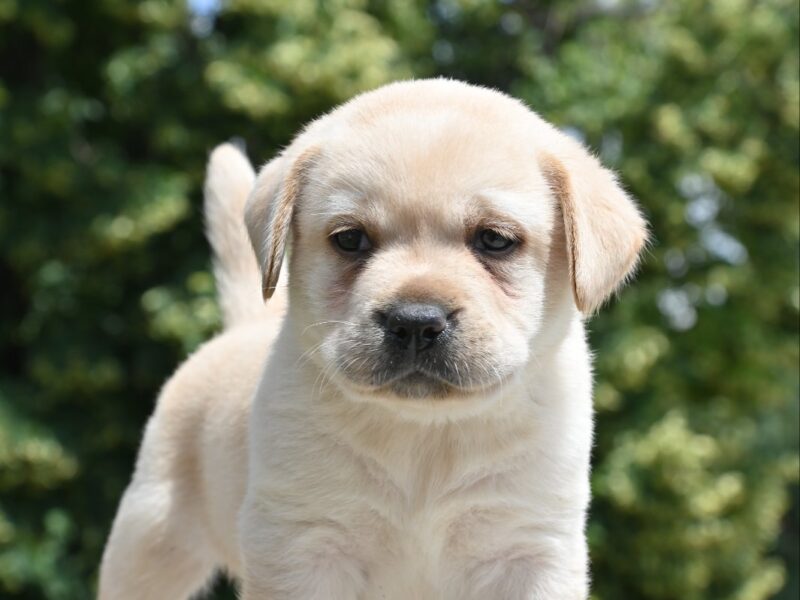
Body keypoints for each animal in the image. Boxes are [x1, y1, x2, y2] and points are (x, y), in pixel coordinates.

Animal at [101, 79, 648, 600]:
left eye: (494, 239)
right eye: (350, 239)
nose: (415, 322)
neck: (426, 434)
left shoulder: (532, 549)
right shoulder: (301, 543)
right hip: (150, 543)